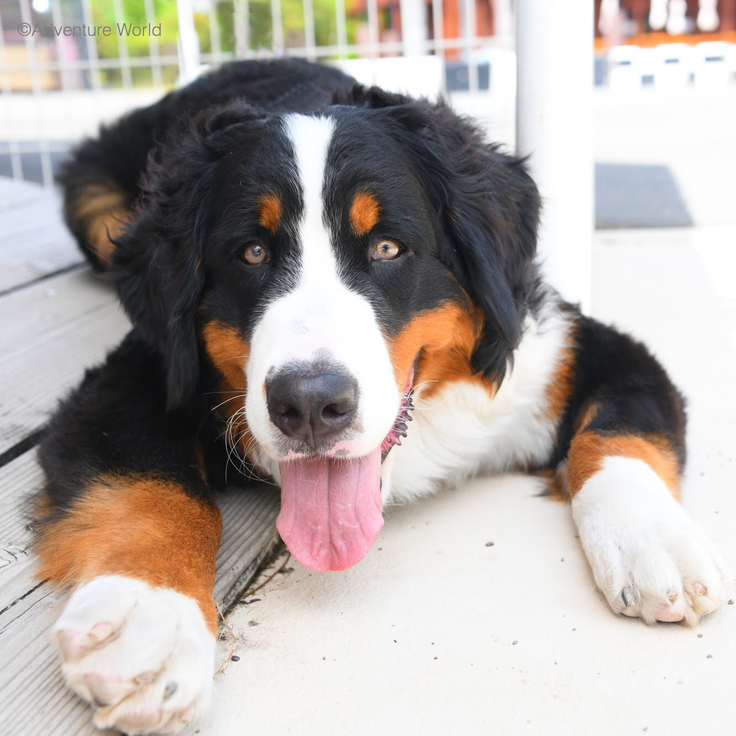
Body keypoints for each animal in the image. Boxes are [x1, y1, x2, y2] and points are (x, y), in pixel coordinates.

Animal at [36, 60, 732, 732]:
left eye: (388, 247)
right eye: (252, 251)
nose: (309, 404)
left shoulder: (576, 348)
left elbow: (619, 431)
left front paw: (650, 541)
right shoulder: (136, 378)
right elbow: (153, 489)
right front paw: (147, 619)